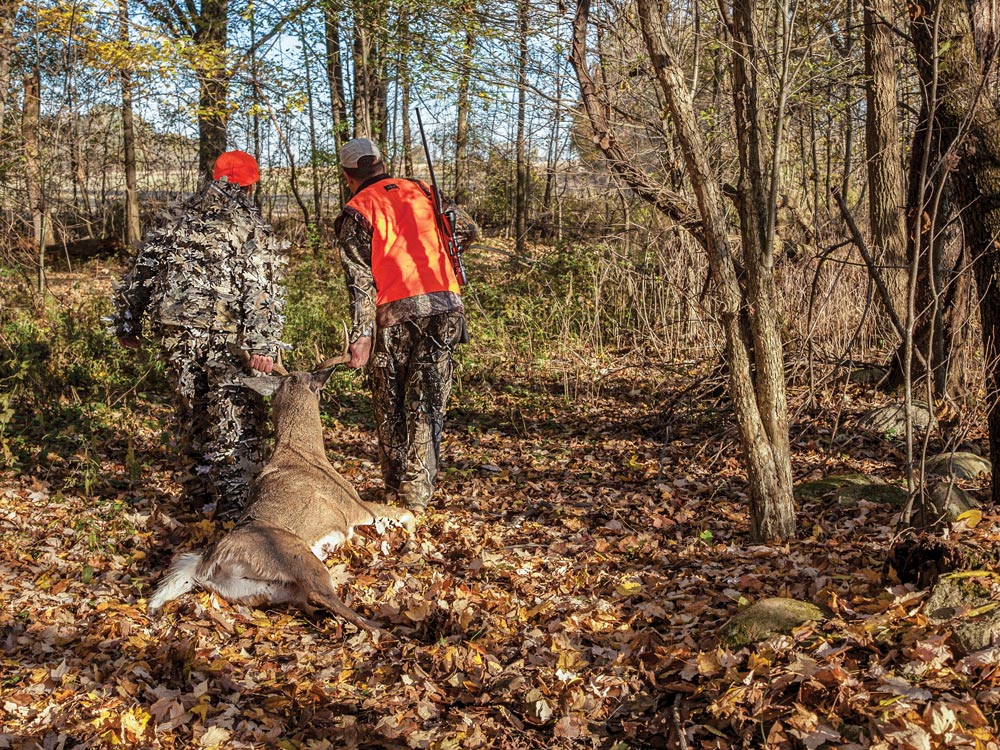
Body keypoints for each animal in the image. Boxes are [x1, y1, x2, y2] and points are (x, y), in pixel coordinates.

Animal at [147, 341, 415, 634]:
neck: (302, 450)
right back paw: (382, 629)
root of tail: (205, 562)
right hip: (297, 556)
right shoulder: (353, 506)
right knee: (322, 594)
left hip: (265, 589)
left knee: (307, 598)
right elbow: (407, 514)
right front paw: (408, 540)